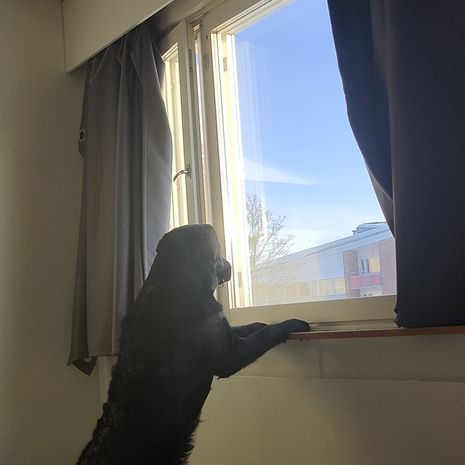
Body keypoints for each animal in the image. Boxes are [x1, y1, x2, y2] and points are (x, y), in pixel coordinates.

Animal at [77, 224, 310, 465]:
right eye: (219, 253)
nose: (229, 265)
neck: (177, 282)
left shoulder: (223, 333)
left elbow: (247, 328)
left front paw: (260, 322)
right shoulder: (228, 356)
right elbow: (265, 334)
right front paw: (292, 324)